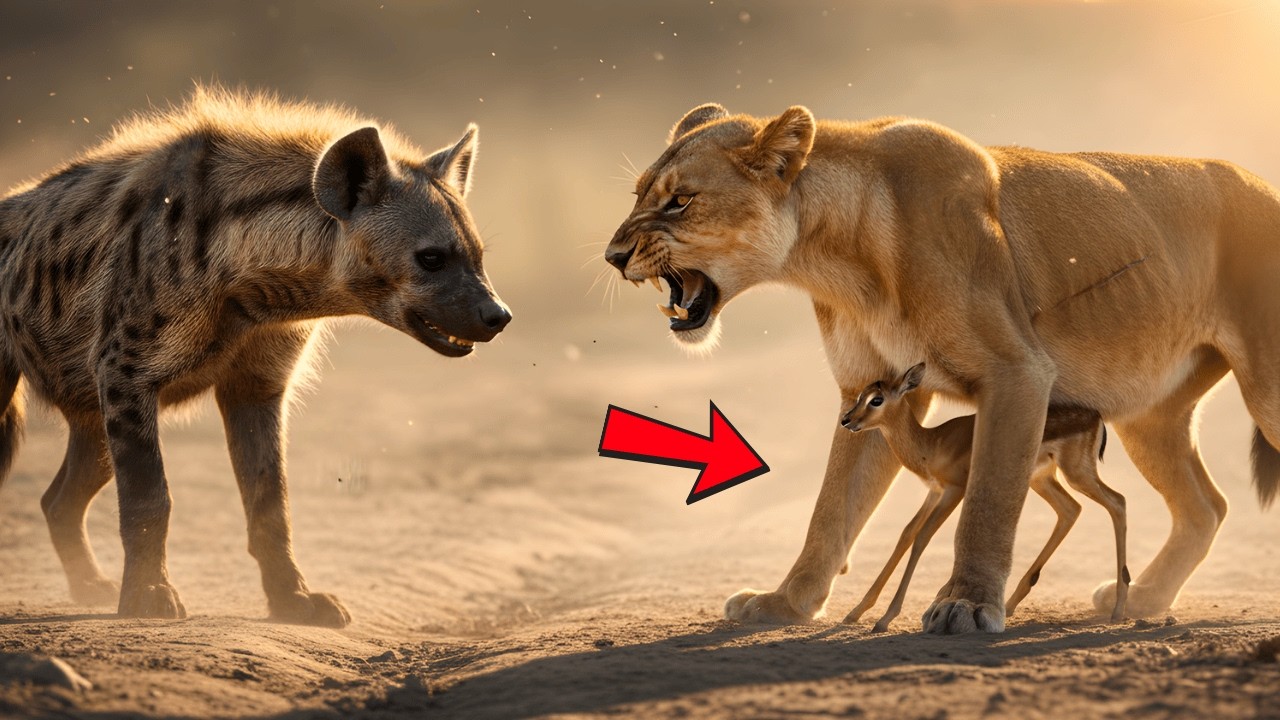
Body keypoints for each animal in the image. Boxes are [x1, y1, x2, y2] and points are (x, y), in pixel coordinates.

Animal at [604, 103, 1280, 634]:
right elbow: (831, 511)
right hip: (1148, 414)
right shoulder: (868, 390)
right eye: (638, 195)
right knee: (1205, 506)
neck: (836, 259)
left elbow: (987, 504)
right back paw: (1140, 600)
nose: (612, 255)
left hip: (1264, 394)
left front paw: (967, 606)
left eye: (680, 202)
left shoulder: (1017, 373)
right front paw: (786, 603)